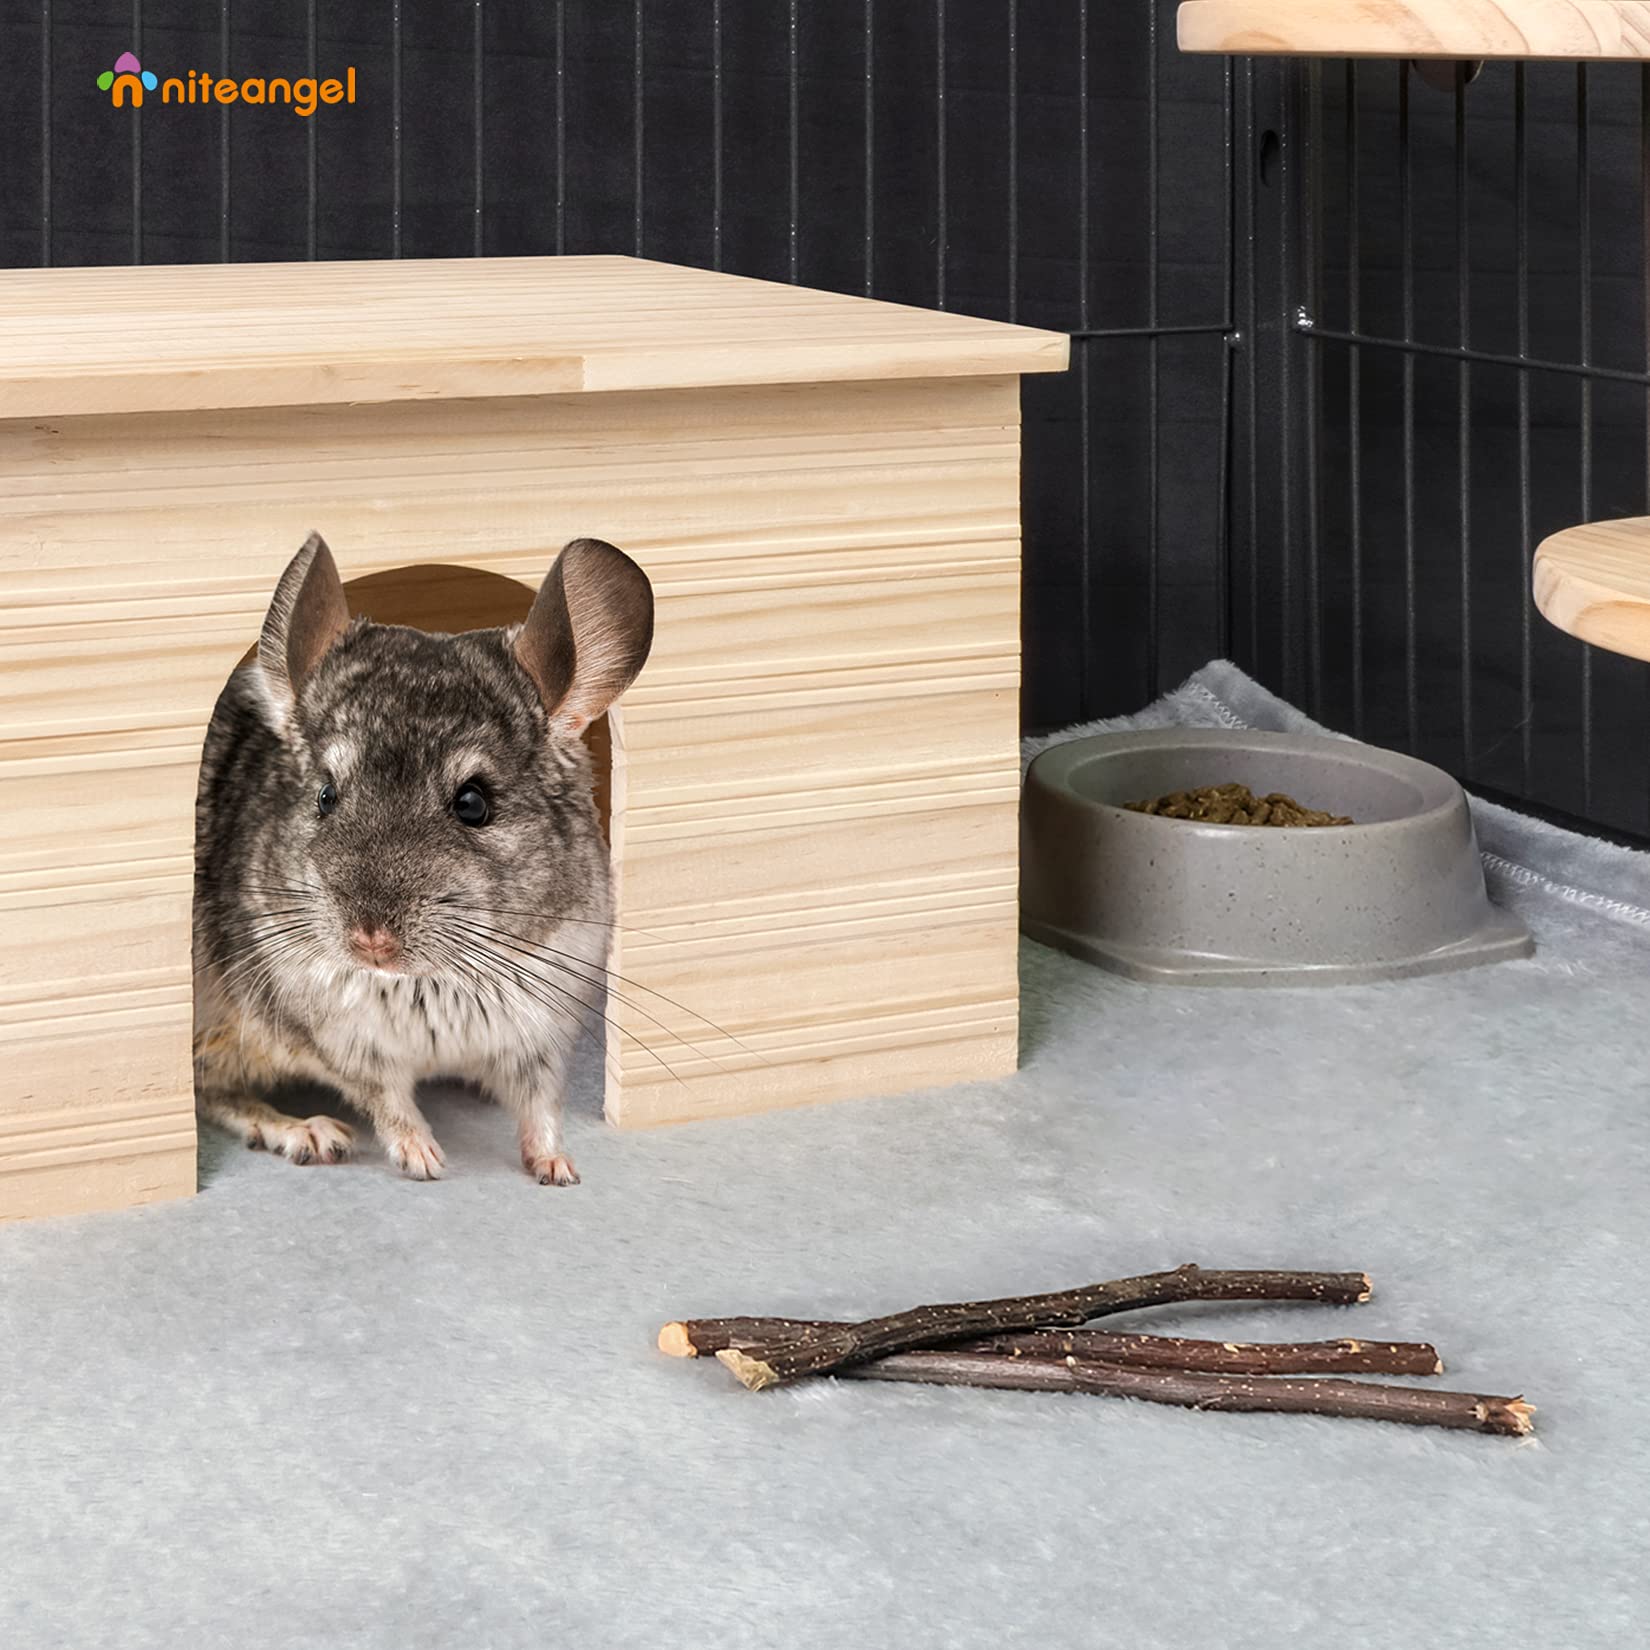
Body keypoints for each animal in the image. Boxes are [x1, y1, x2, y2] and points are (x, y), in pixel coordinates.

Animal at [192, 531, 654, 1184]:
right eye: (325, 795)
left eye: (473, 803)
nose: (370, 939)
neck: (434, 982)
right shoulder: (346, 1042)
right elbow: (388, 1100)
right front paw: (425, 1159)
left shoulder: (540, 1033)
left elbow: (541, 1102)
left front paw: (557, 1166)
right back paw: (305, 1131)